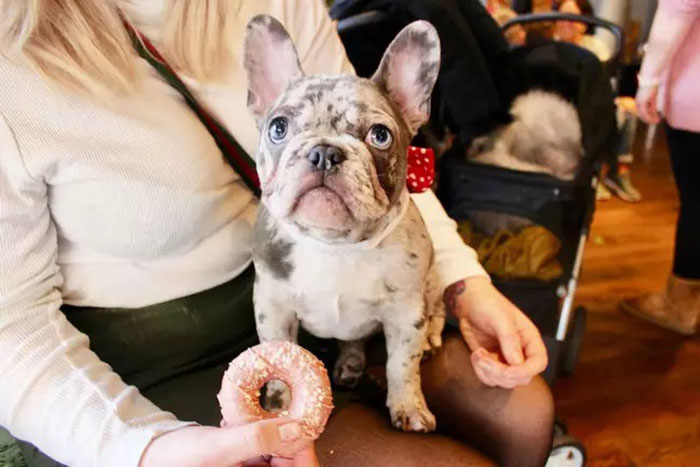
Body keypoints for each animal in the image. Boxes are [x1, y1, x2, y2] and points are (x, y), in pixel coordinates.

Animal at [243, 14, 446, 434]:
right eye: (278, 128)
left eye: (380, 136)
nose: (324, 151)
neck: (333, 244)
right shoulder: (273, 306)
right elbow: (281, 355)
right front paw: (280, 404)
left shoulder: (406, 314)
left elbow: (402, 365)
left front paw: (409, 406)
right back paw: (350, 365)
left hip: (431, 286)